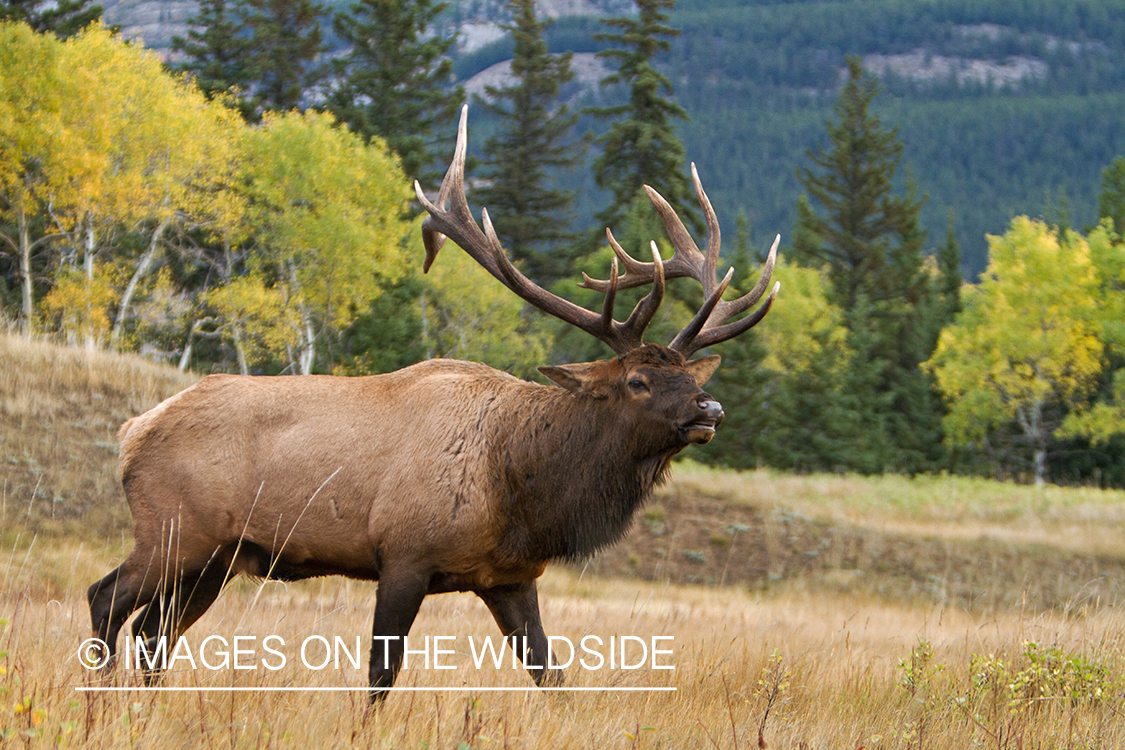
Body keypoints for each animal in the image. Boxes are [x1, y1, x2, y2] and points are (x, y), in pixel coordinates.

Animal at [87, 108, 778, 701]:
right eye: (637, 380)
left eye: (687, 374)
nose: (709, 411)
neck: (521, 489)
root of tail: (132, 432)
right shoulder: (403, 552)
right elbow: (380, 673)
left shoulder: (511, 577)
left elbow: (551, 674)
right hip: (174, 530)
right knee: (106, 599)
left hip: (219, 556)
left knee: (153, 632)